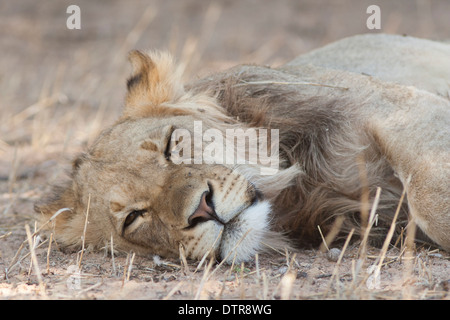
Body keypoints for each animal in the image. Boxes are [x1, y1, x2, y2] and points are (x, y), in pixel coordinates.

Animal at [36, 33, 450, 264]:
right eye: (134, 217)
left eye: (172, 145)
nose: (201, 209)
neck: (299, 192)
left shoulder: (395, 107)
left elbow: (432, 205)